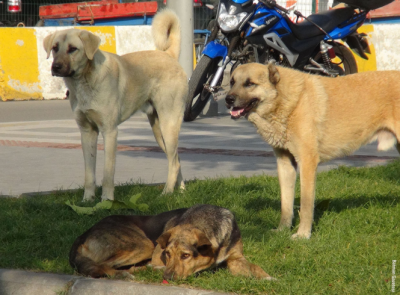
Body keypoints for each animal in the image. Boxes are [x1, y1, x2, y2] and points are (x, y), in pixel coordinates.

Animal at [43, 9, 188, 204]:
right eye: (54, 48)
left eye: (73, 49)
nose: (55, 67)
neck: (85, 81)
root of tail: (169, 55)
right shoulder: (87, 132)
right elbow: (89, 174)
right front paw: (87, 200)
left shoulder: (110, 131)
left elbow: (107, 173)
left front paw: (107, 200)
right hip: (159, 131)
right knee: (176, 160)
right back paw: (180, 191)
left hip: (169, 125)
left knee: (173, 161)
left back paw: (166, 193)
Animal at [225, 63, 400, 240]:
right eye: (232, 82)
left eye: (249, 84)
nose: (228, 99)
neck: (287, 101)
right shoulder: (285, 164)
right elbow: (286, 204)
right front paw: (283, 229)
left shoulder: (307, 162)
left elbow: (306, 205)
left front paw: (303, 234)